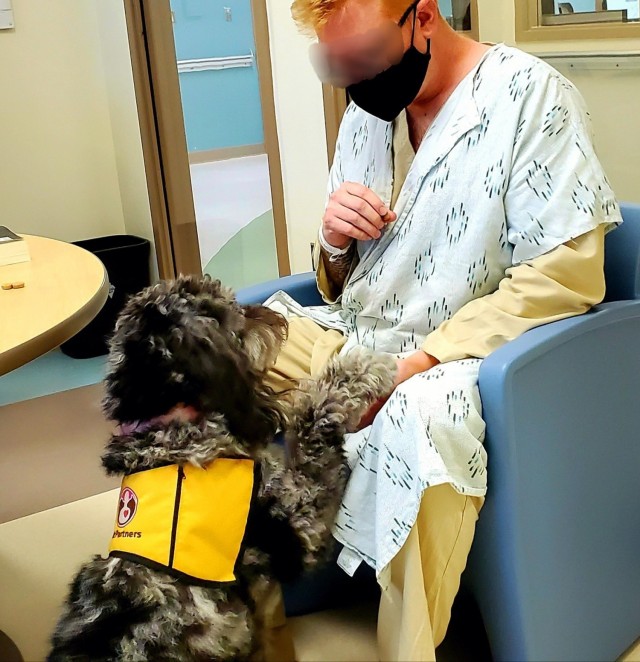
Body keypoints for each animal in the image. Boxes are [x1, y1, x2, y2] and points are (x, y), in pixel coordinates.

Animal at [48, 276, 396, 662]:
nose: (273, 316)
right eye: (226, 313)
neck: (170, 427)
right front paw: (361, 368)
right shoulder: (299, 522)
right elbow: (314, 416)